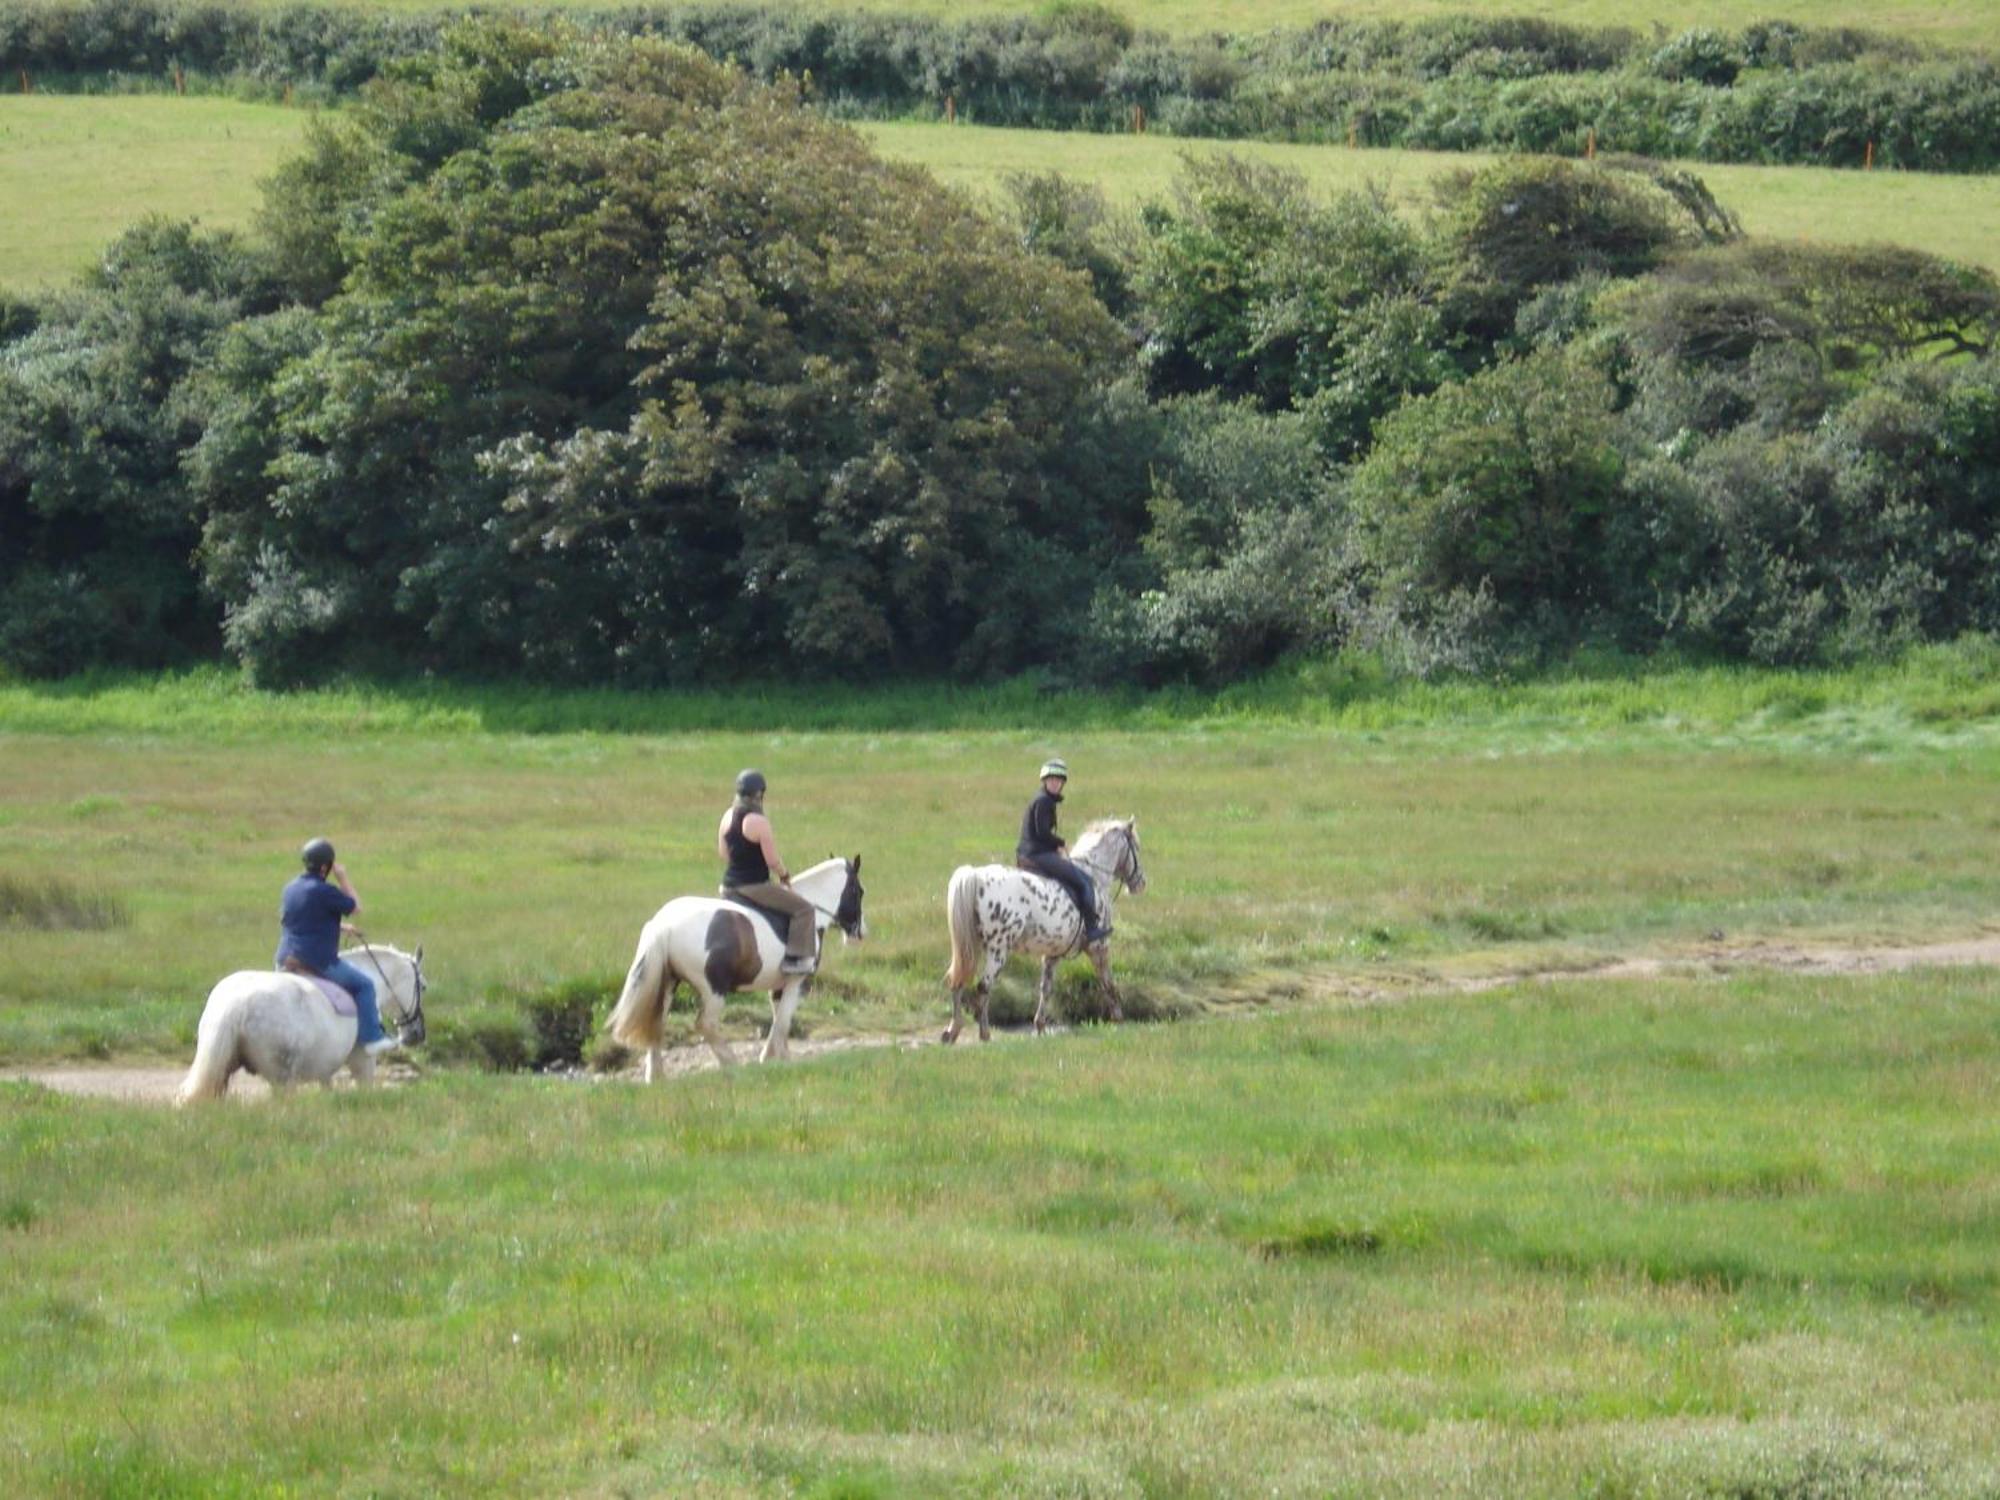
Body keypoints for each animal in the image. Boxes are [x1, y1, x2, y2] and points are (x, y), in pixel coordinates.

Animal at [180, 944, 430, 1112]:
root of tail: (236, 1005)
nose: (416, 1035)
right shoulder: (363, 1060)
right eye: (423, 987)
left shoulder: (325, 1069)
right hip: (281, 1079)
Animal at [604, 856, 864, 1080]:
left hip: (668, 983)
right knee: (705, 1024)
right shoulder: (797, 982)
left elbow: (778, 1018)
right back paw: (731, 1063)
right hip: (714, 989)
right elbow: (782, 1022)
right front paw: (772, 1059)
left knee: (657, 1023)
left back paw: (656, 1077)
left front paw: (778, 1058)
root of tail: (665, 924)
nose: (859, 933)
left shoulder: (778, 986)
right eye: (859, 891)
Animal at [936, 824, 1144, 1048]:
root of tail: (977, 876)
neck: (1094, 875)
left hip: (968, 947)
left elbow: (1046, 988)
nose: (1141, 883)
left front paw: (1040, 1026)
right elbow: (1108, 983)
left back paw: (952, 1031)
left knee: (958, 980)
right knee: (984, 986)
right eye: (1136, 847)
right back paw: (984, 1034)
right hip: (998, 950)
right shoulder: (1099, 946)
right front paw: (1119, 1020)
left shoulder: (1053, 954)